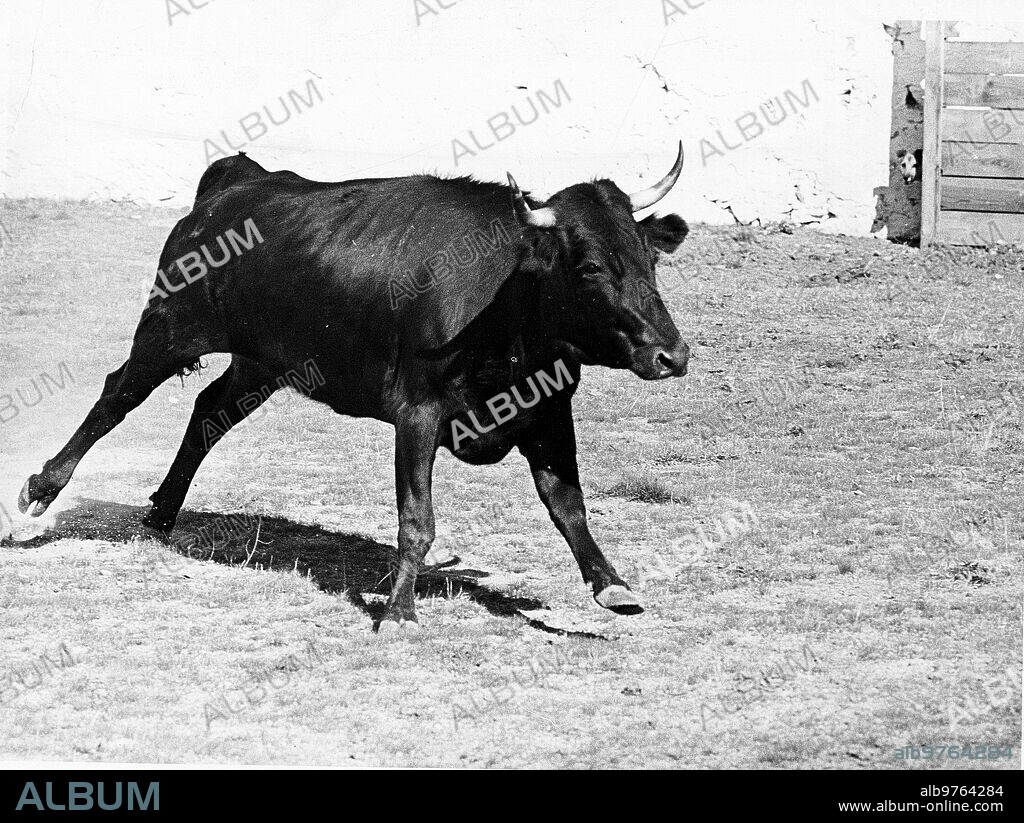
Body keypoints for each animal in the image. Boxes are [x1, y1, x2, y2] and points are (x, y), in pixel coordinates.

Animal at [18, 144, 691, 631]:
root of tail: (237, 180)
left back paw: (162, 510)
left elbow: (568, 504)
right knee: (117, 397)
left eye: (650, 260)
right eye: (590, 266)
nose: (672, 355)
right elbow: (417, 519)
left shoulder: (550, 414)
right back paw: (42, 491)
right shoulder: (417, 414)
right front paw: (399, 612)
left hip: (261, 363)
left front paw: (612, 585)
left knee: (209, 411)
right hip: (169, 330)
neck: (505, 303)